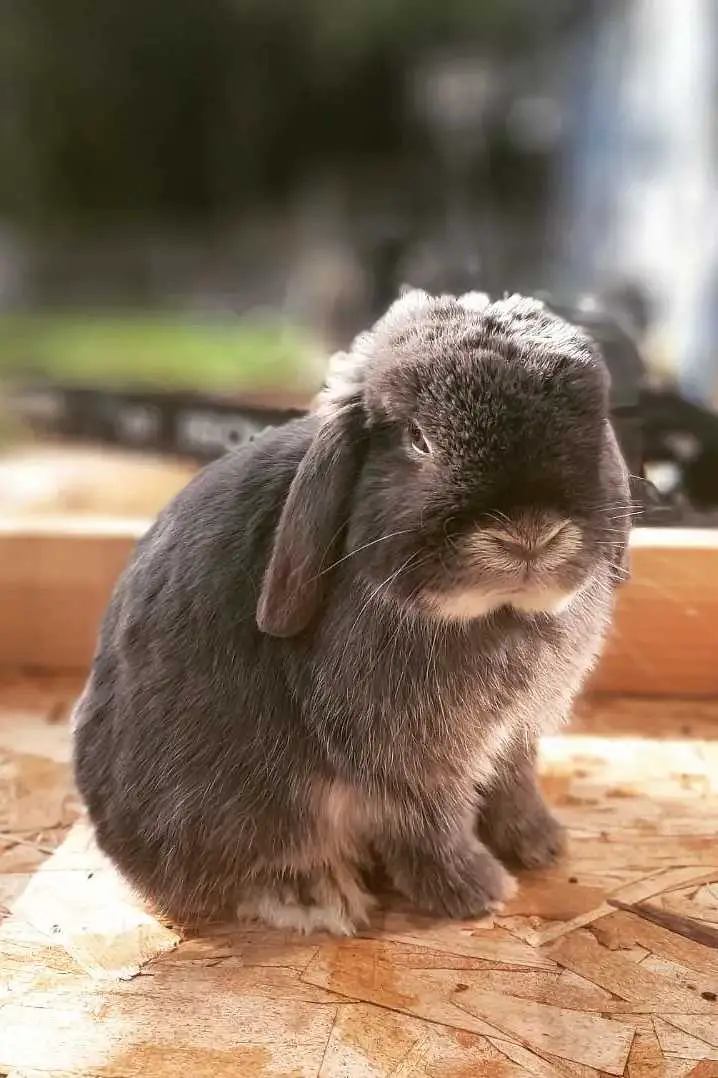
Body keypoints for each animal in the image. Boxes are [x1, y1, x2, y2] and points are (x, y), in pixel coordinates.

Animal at [72, 288, 629, 935]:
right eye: (419, 440)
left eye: (592, 431)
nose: (529, 535)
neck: (495, 614)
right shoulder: (403, 762)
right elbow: (428, 823)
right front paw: (478, 892)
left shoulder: (511, 737)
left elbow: (513, 785)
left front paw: (542, 846)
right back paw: (316, 894)